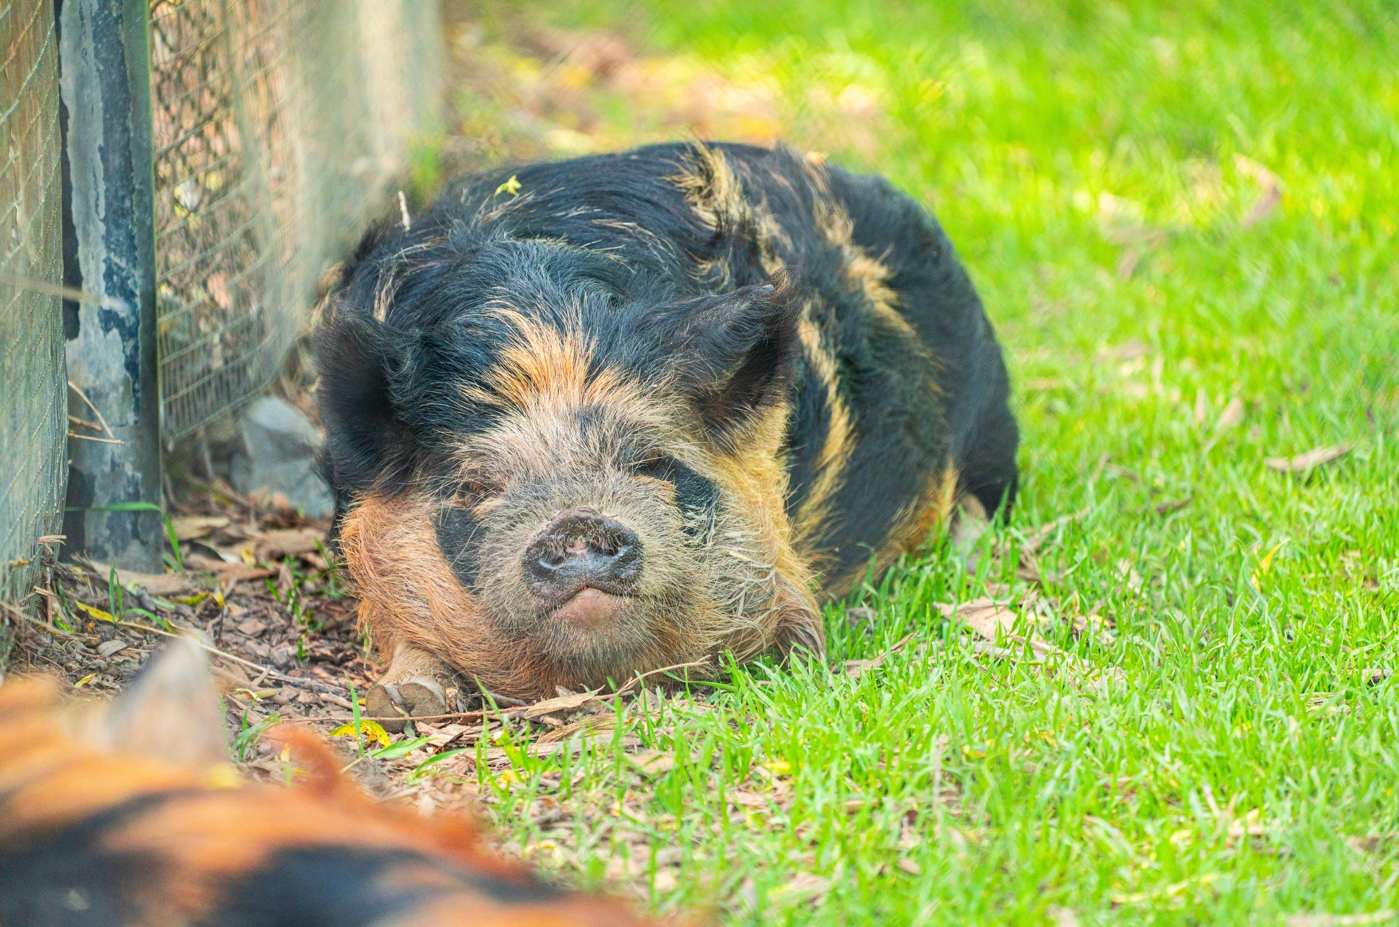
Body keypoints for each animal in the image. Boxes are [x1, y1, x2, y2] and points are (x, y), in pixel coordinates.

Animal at [315, 142, 1017, 724]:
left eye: (651, 463)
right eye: (476, 487)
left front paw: (791, 659)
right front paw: (403, 702)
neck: (545, 324)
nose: (577, 522)